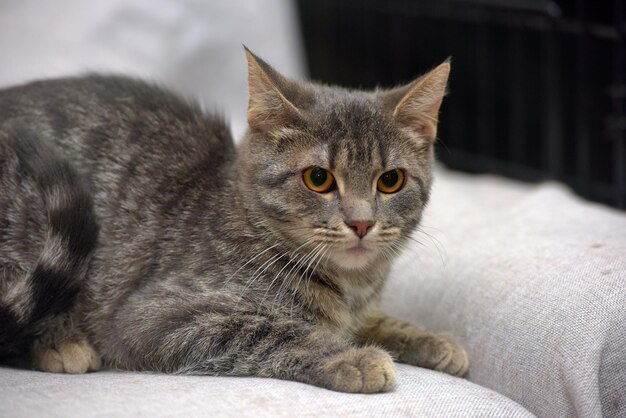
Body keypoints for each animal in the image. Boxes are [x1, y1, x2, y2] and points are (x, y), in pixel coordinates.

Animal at [0, 48, 466, 392]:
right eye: (318, 179)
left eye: (390, 181)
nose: (362, 223)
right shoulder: (151, 316)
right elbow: (275, 331)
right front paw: (350, 356)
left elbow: (375, 321)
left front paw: (430, 338)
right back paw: (60, 344)